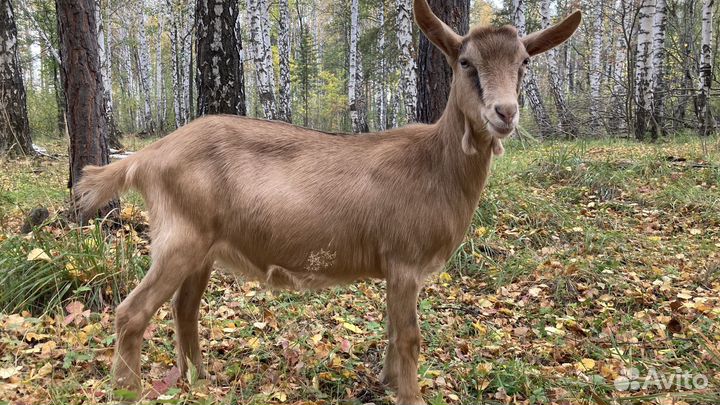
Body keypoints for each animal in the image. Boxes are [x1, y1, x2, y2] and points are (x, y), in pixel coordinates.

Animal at [75, 2, 581, 403]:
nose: (505, 113)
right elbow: (410, 337)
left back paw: (198, 381)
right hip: (181, 238)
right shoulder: (403, 258)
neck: (434, 167)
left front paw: (385, 383)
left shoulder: (396, 268)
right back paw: (127, 390)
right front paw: (410, 396)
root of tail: (146, 157)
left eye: (524, 63)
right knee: (132, 312)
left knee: (185, 309)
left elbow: (393, 331)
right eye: (465, 62)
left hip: (203, 247)